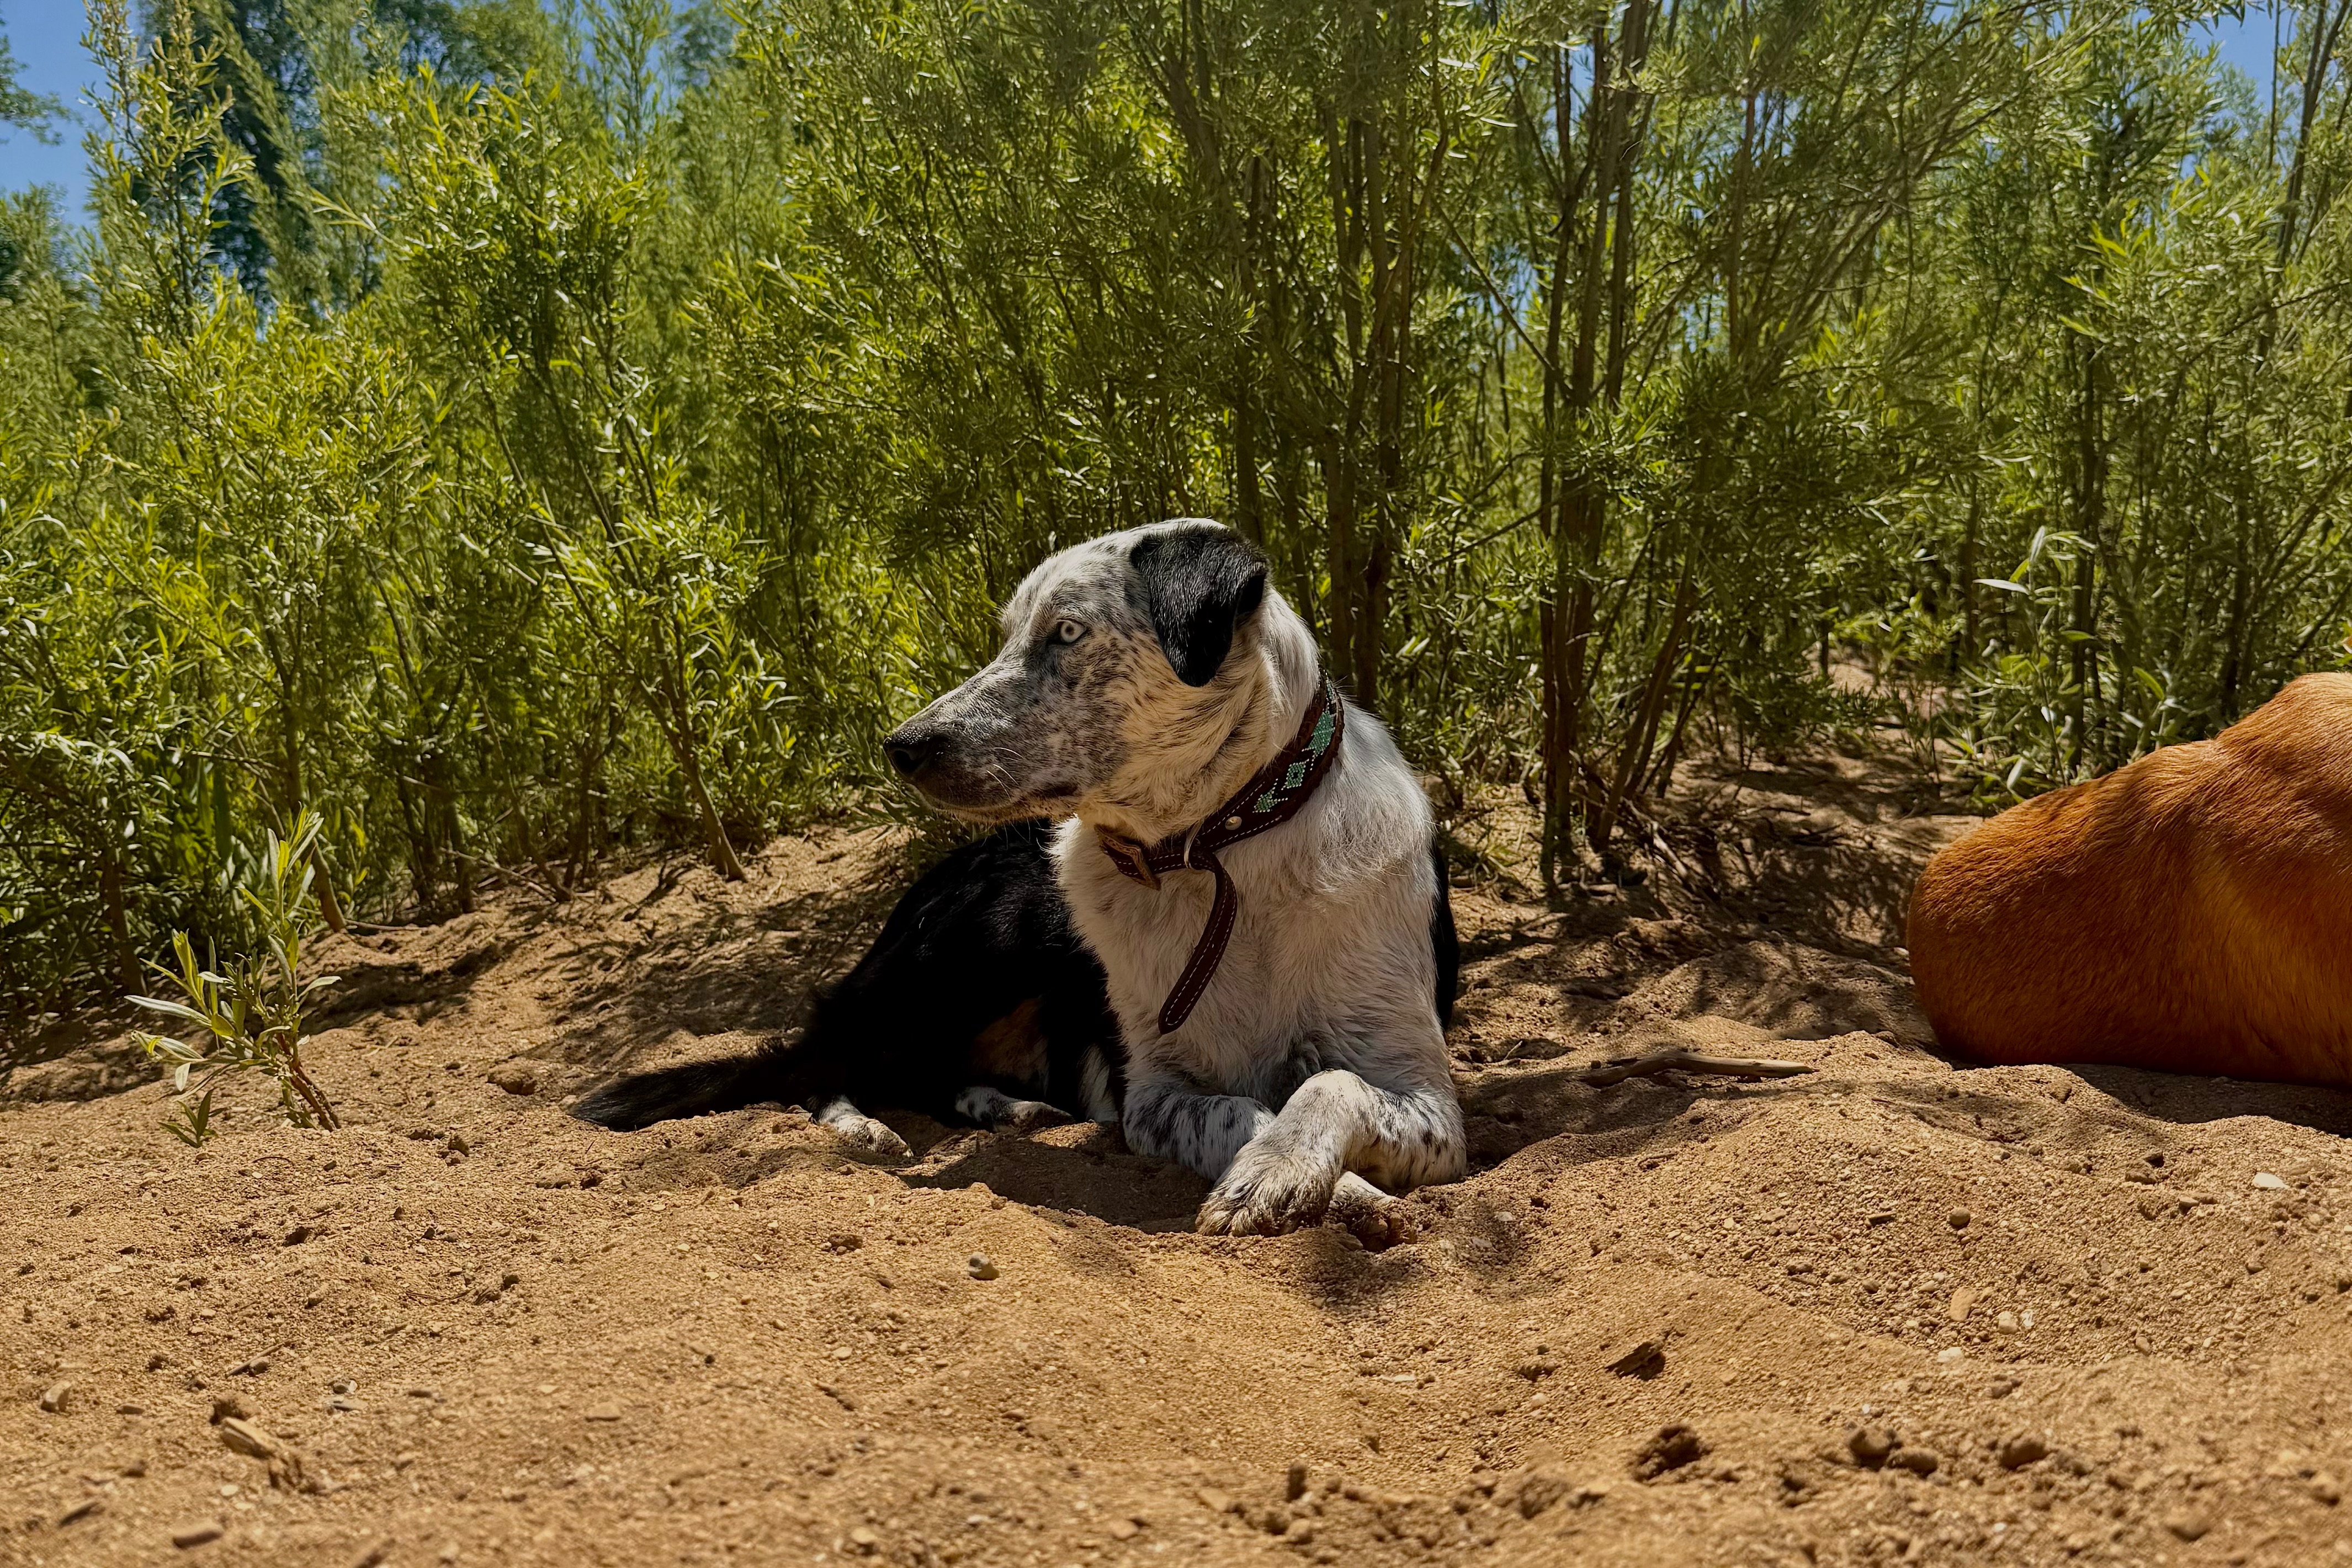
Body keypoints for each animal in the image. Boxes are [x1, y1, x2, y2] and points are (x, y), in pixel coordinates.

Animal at [883, 519, 1467, 1235]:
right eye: (1011, 634)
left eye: (1067, 632)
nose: (902, 747)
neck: (1215, 852)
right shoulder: (1152, 1094)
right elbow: (1237, 1113)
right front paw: (1323, 1187)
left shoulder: (1427, 1099)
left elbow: (1331, 1083)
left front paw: (1284, 1170)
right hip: (982, 948)